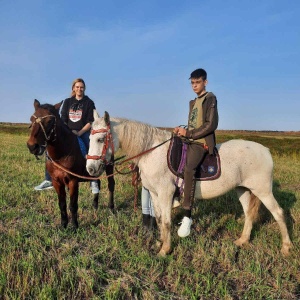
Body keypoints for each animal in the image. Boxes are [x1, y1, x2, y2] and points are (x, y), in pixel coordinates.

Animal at [27, 99, 115, 229]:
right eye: (31, 119)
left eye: (49, 121)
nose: (32, 146)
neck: (62, 155)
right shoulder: (57, 182)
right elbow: (62, 204)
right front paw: (63, 224)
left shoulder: (73, 181)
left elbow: (73, 205)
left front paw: (74, 226)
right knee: (97, 182)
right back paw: (95, 205)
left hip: (109, 167)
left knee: (111, 185)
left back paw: (111, 209)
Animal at [86, 111, 290, 256]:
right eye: (88, 138)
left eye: (100, 139)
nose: (90, 169)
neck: (151, 151)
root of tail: (266, 150)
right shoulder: (154, 194)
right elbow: (159, 219)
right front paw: (160, 242)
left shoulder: (166, 193)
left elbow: (166, 221)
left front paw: (165, 250)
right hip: (243, 189)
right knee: (249, 214)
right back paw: (242, 241)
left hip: (263, 190)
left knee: (278, 213)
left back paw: (286, 248)